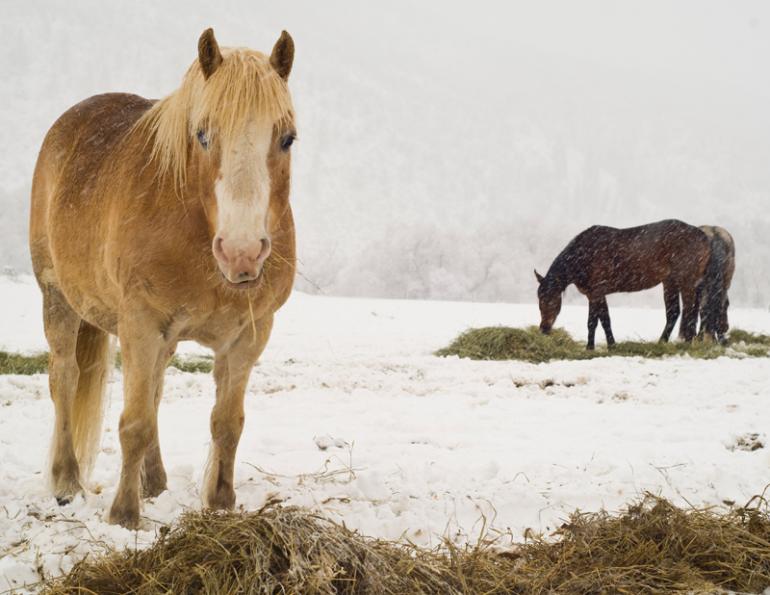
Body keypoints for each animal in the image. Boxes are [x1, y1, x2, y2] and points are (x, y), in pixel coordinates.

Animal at [29, 28, 297, 529]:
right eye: (203, 134)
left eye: (288, 138)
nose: (242, 252)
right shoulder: (139, 323)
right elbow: (132, 423)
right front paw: (123, 516)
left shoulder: (249, 335)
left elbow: (226, 424)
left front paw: (220, 505)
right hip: (58, 297)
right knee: (66, 377)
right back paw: (67, 482)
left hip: (162, 338)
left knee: (153, 388)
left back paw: (154, 482)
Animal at [534, 219, 710, 350]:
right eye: (539, 300)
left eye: (551, 300)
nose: (544, 328)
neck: (583, 256)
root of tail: (703, 236)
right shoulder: (594, 294)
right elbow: (599, 321)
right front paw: (601, 346)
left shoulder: (597, 292)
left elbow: (598, 321)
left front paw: (600, 346)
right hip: (670, 282)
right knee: (674, 312)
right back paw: (662, 342)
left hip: (686, 281)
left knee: (689, 311)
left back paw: (686, 343)